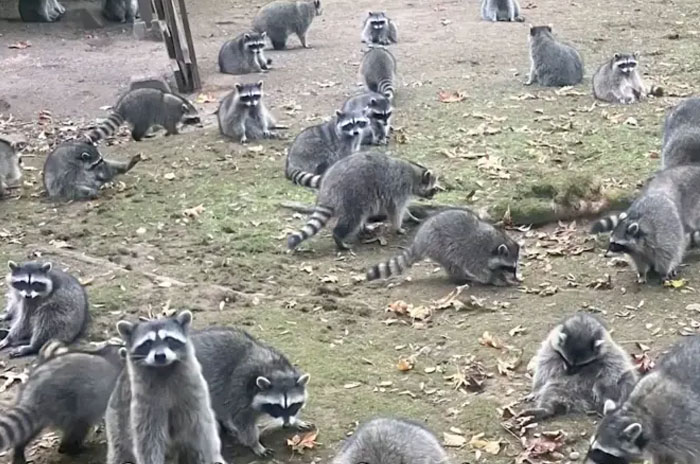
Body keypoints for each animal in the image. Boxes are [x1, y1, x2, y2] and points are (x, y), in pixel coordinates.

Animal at [106, 311, 225, 464]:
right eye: (147, 343)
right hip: (116, 419)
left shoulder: (195, 392)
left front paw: (213, 455)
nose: (160, 356)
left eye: (169, 339)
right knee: (119, 448)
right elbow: (147, 440)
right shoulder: (144, 403)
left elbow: (203, 427)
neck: (163, 369)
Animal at [191, 327, 312, 456]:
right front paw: (255, 444)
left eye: (293, 405)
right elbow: (242, 421)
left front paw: (296, 421)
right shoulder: (239, 390)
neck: (276, 370)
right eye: (277, 406)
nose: (286, 425)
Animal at [287, 152, 439, 251]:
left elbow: (402, 209)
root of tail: (328, 184)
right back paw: (339, 237)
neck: (415, 173)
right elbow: (396, 210)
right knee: (352, 218)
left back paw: (363, 228)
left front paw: (412, 217)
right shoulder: (399, 187)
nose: (432, 197)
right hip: (352, 194)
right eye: (434, 189)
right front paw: (398, 226)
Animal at [367, 209, 520, 286]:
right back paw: (461, 278)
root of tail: (419, 240)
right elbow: (481, 271)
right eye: (509, 267)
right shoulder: (475, 254)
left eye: (514, 268)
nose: (515, 278)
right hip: (439, 246)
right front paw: (494, 279)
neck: (496, 242)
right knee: (452, 263)